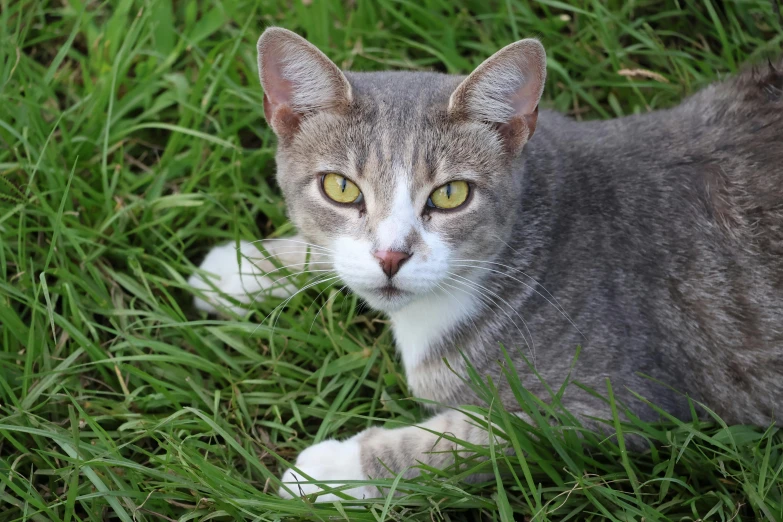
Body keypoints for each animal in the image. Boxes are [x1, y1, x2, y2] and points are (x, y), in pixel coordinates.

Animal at [190, 28, 783, 500]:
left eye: (451, 195)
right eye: (340, 188)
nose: (390, 256)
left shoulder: (624, 404)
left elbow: (474, 440)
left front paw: (335, 469)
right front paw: (242, 268)